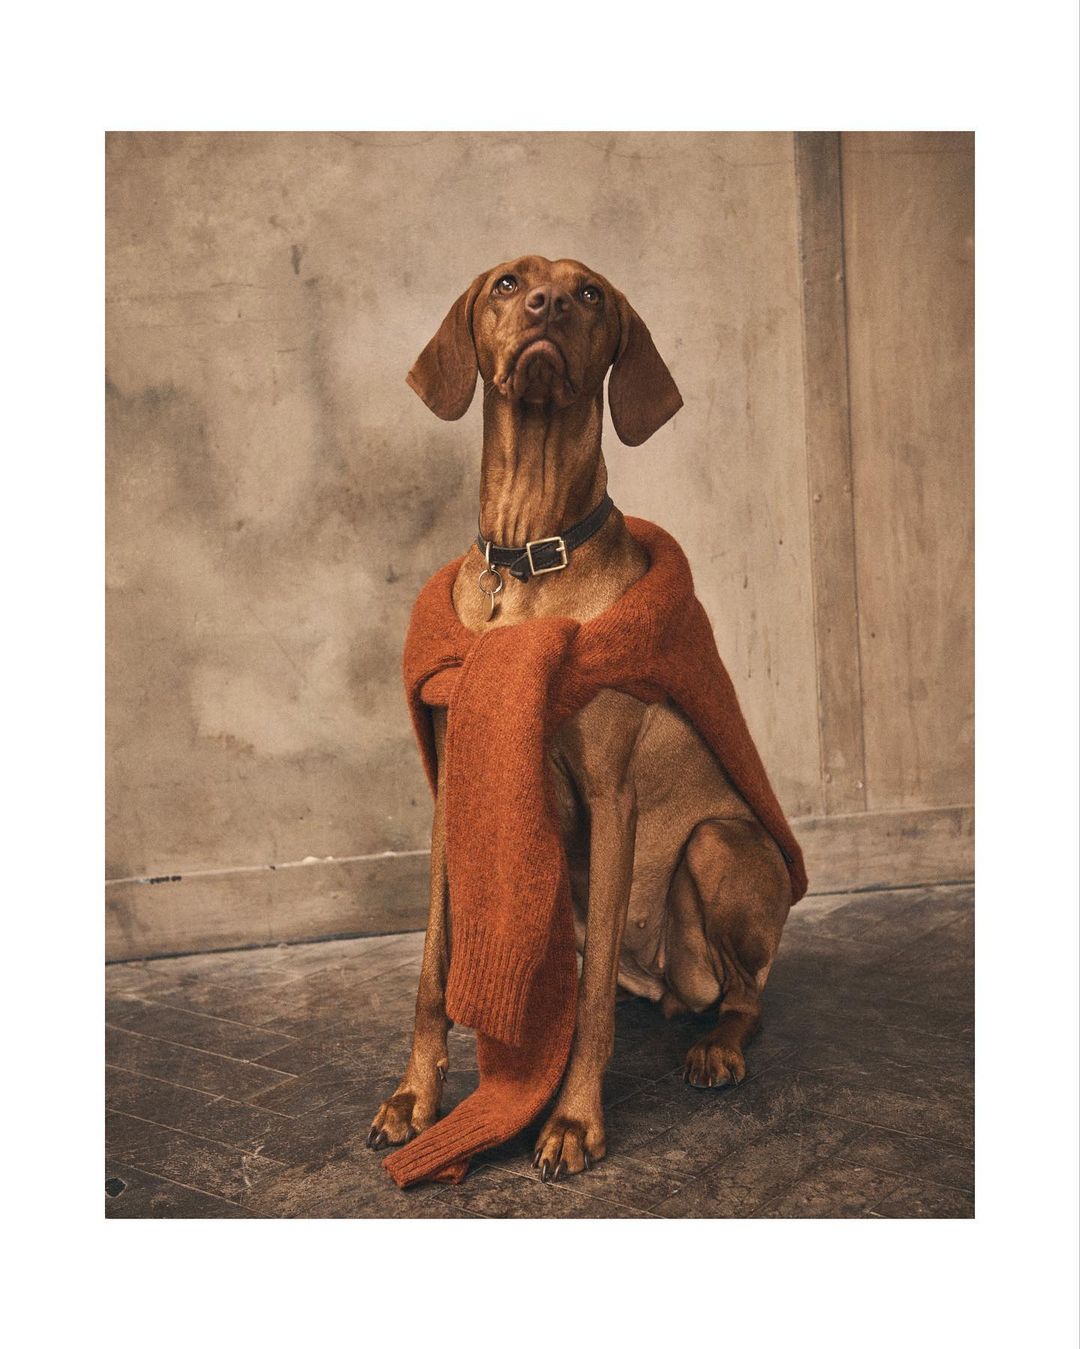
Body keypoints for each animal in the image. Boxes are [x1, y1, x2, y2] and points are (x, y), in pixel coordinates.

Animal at [368, 256, 794, 1181]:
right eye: (506, 282)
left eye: (591, 293)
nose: (548, 304)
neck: (527, 561)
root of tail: (669, 985)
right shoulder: (457, 787)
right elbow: (432, 968)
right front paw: (414, 1100)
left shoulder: (612, 798)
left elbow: (591, 993)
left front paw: (570, 1119)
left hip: (719, 846)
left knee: (743, 994)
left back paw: (718, 1047)